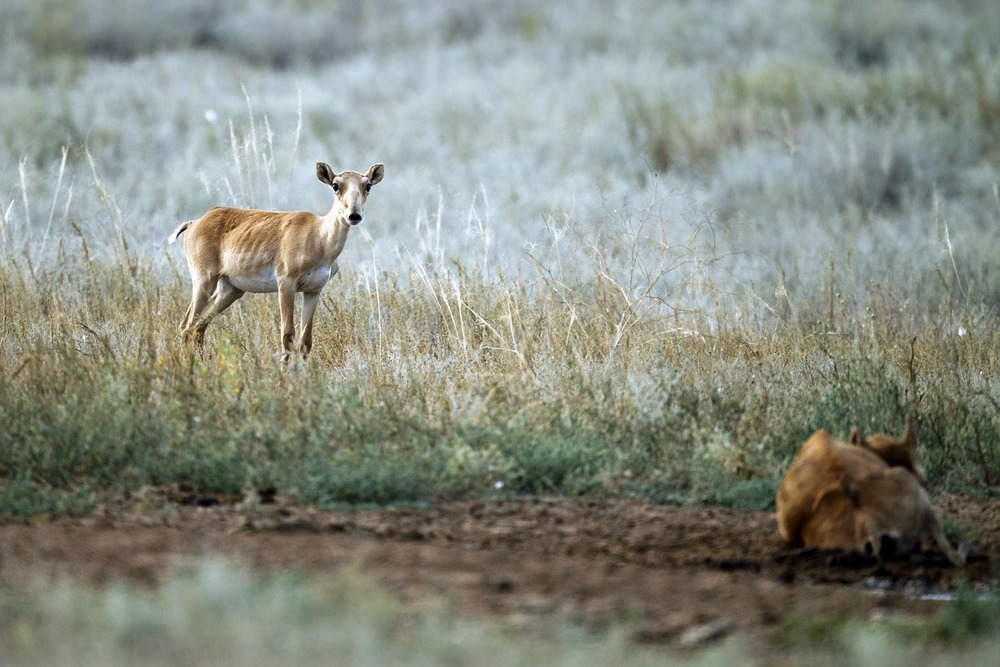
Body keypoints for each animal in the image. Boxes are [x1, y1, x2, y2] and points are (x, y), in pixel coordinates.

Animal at [168, 162, 382, 362]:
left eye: (368, 185)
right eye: (336, 185)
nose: (354, 215)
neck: (318, 236)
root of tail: (194, 223)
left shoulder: (313, 291)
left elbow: (306, 340)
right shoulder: (286, 284)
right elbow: (287, 335)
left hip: (230, 290)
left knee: (198, 326)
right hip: (204, 281)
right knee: (187, 326)